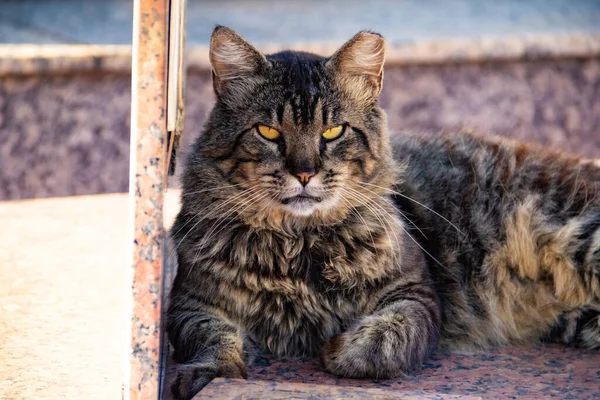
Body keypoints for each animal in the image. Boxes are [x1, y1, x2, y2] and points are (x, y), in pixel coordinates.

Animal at [166, 26, 600, 398]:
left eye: (332, 132)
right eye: (268, 132)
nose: (304, 173)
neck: (297, 246)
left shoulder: (416, 295)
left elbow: (385, 342)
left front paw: (336, 348)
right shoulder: (191, 303)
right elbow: (214, 339)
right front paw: (211, 374)